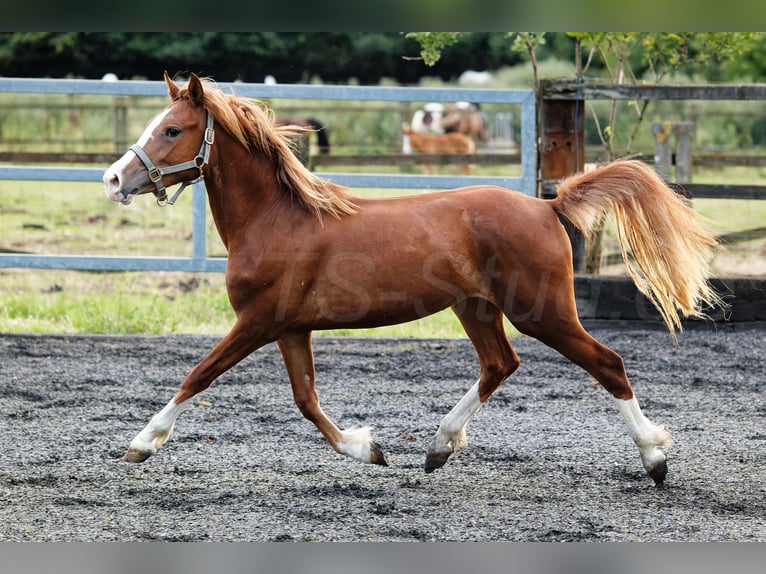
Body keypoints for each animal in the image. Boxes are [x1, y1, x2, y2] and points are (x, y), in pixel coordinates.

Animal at [103, 72, 728, 486]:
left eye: (173, 129)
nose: (112, 179)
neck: (277, 219)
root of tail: (547, 206)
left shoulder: (257, 321)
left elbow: (198, 376)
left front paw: (139, 445)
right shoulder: (291, 328)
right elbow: (306, 399)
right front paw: (369, 449)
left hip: (541, 311)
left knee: (607, 364)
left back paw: (655, 459)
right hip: (476, 308)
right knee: (500, 364)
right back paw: (438, 448)